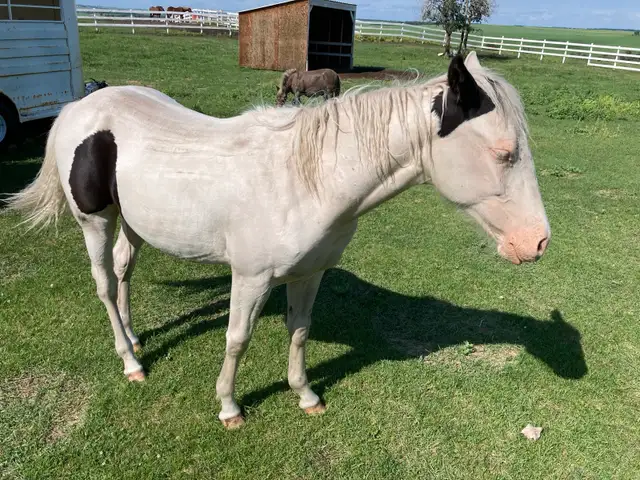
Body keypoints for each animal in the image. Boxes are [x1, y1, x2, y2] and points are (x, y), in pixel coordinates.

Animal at [5, 52, 550, 430]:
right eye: (504, 153)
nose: (538, 243)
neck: (306, 179)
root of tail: (82, 106)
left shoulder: (309, 274)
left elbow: (300, 331)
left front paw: (305, 395)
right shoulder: (250, 278)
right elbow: (237, 338)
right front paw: (229, 406)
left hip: (136, 222)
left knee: (123, 270)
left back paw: (136, 337)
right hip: (94, 221)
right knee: (102, 283)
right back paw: (131, 360)